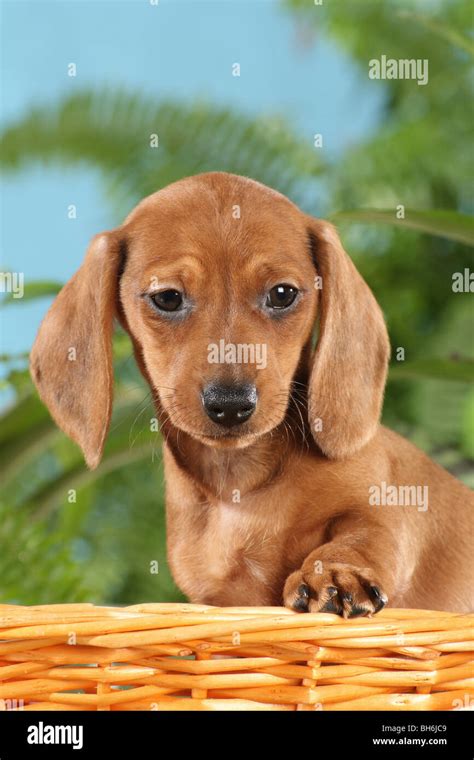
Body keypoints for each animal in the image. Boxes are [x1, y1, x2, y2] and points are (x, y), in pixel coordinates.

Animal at [30, 172, 474, 616]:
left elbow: (361, 534)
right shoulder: (216, 599)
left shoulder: (383, 509)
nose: (230, 405)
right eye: (168, 297)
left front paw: (334, 572)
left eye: (282, 294)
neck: (241, 485)